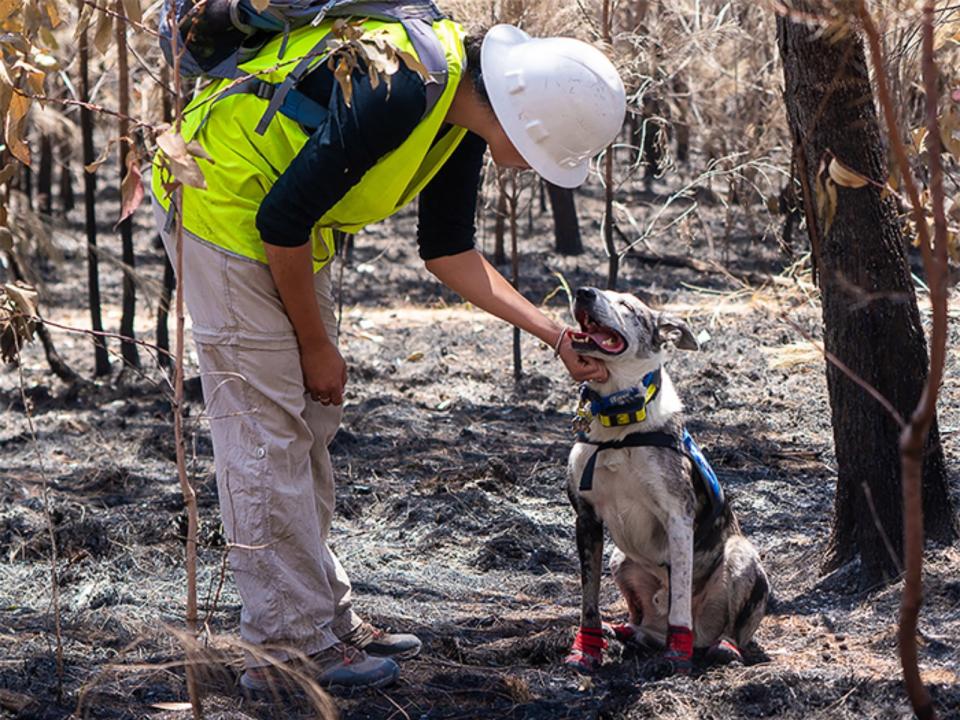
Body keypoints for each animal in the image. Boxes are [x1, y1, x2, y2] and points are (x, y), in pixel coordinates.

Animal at [564, 286, 764, 676]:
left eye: (627, 306)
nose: (583, 292)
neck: (619, 422)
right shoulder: (586, 518)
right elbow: (588, 598)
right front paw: (587, 650)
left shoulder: (678, 517)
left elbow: (680, 596)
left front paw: (676, 654)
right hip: (619, 558)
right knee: (643, 617)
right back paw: (628, 631)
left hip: (741, 555)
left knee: (733, 628)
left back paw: (722, 646)